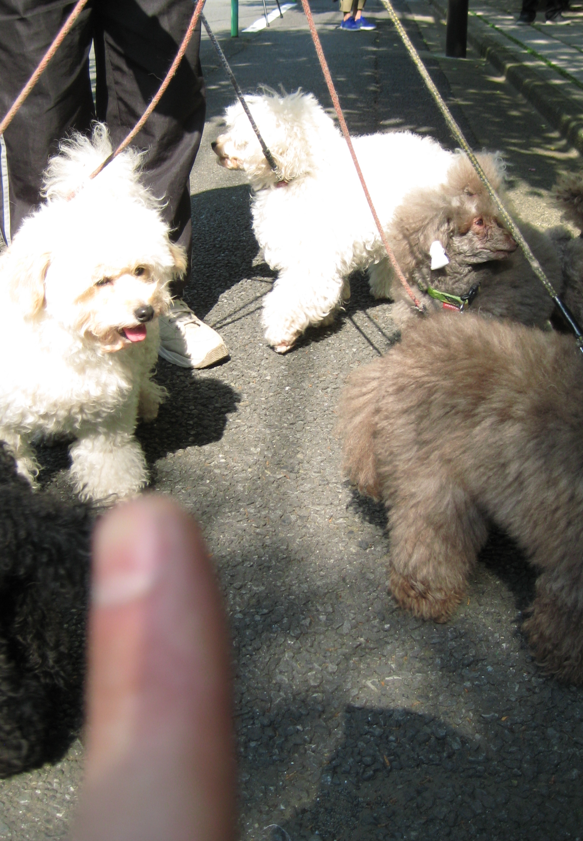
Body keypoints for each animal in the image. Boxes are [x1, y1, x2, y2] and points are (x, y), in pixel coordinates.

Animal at [0, 124, 186, 503]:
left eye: (141, 271)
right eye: (101, 281)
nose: (145, 312)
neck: (71, 345)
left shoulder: (106, 416)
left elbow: (109, 462)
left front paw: (119, 499)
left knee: (143, 377)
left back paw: (148, 401)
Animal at [213, 88, 463, 352]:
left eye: (239, 135)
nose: (213, 144)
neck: (301, 173)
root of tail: (447, 158)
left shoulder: (311, 259)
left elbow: (293, 297)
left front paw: (281, 335)